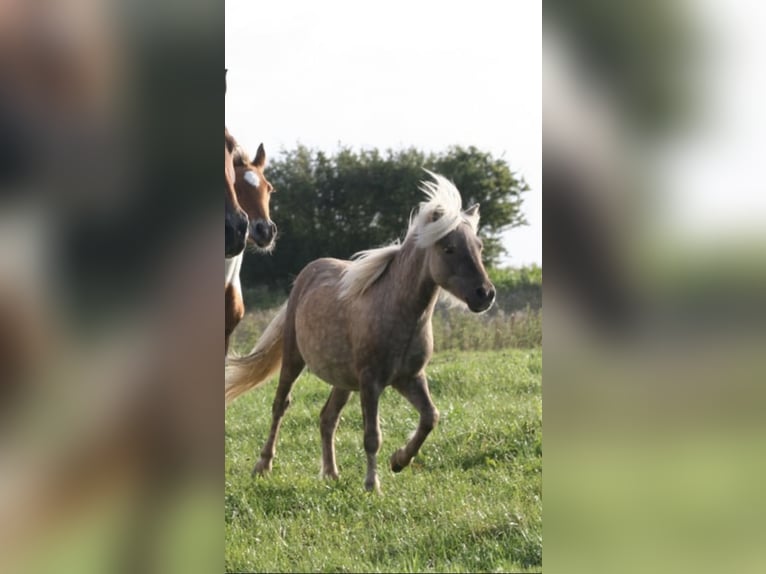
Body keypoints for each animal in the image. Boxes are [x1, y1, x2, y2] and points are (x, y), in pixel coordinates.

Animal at [225, 171, 496, 492]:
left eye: (479, 246)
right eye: (448, 248)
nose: (485, 294)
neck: (399, 311)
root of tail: (306, 274)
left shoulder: (410, 378)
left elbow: (430, 417)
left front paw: (399, 461)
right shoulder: (371, 382)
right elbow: (372, 436)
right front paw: (372, 484)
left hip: (343, 380)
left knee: (327, 417)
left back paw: (331, 473)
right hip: (294, 359)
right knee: (281, 405)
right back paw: (263, 466)